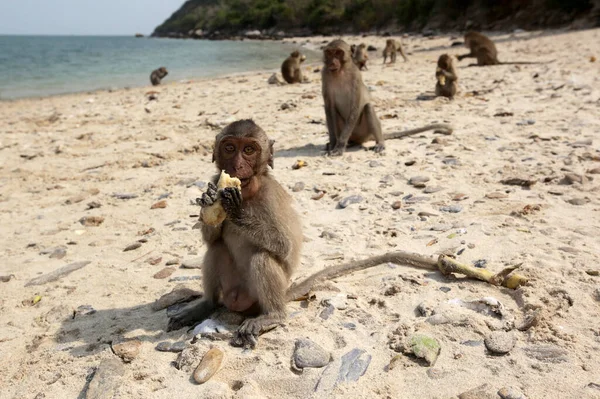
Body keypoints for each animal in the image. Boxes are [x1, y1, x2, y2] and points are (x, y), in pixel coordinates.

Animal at [165, 119, 302, 350]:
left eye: (248, 150)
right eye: (229, 148)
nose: (237, 166)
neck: (248, 193)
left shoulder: (270, 195)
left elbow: (284, 246)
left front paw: (235, 210)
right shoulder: (214, 179)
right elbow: (211, 238)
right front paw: (210, 200)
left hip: (255, 298)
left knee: (262, 257)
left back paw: (272, 316)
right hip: (230, 289)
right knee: (217, 249)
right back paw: (207, 304)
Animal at [322, 39, 452, 157]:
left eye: (338, 53)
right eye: (329, 53)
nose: (332, 62)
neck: (340, 72)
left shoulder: (356, 77)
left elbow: (355, 107)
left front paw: (339, 146)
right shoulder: (325, 75)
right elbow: (329, 109)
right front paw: (333, 144)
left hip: (363, 131)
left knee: (368, 107)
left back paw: (379, 142)